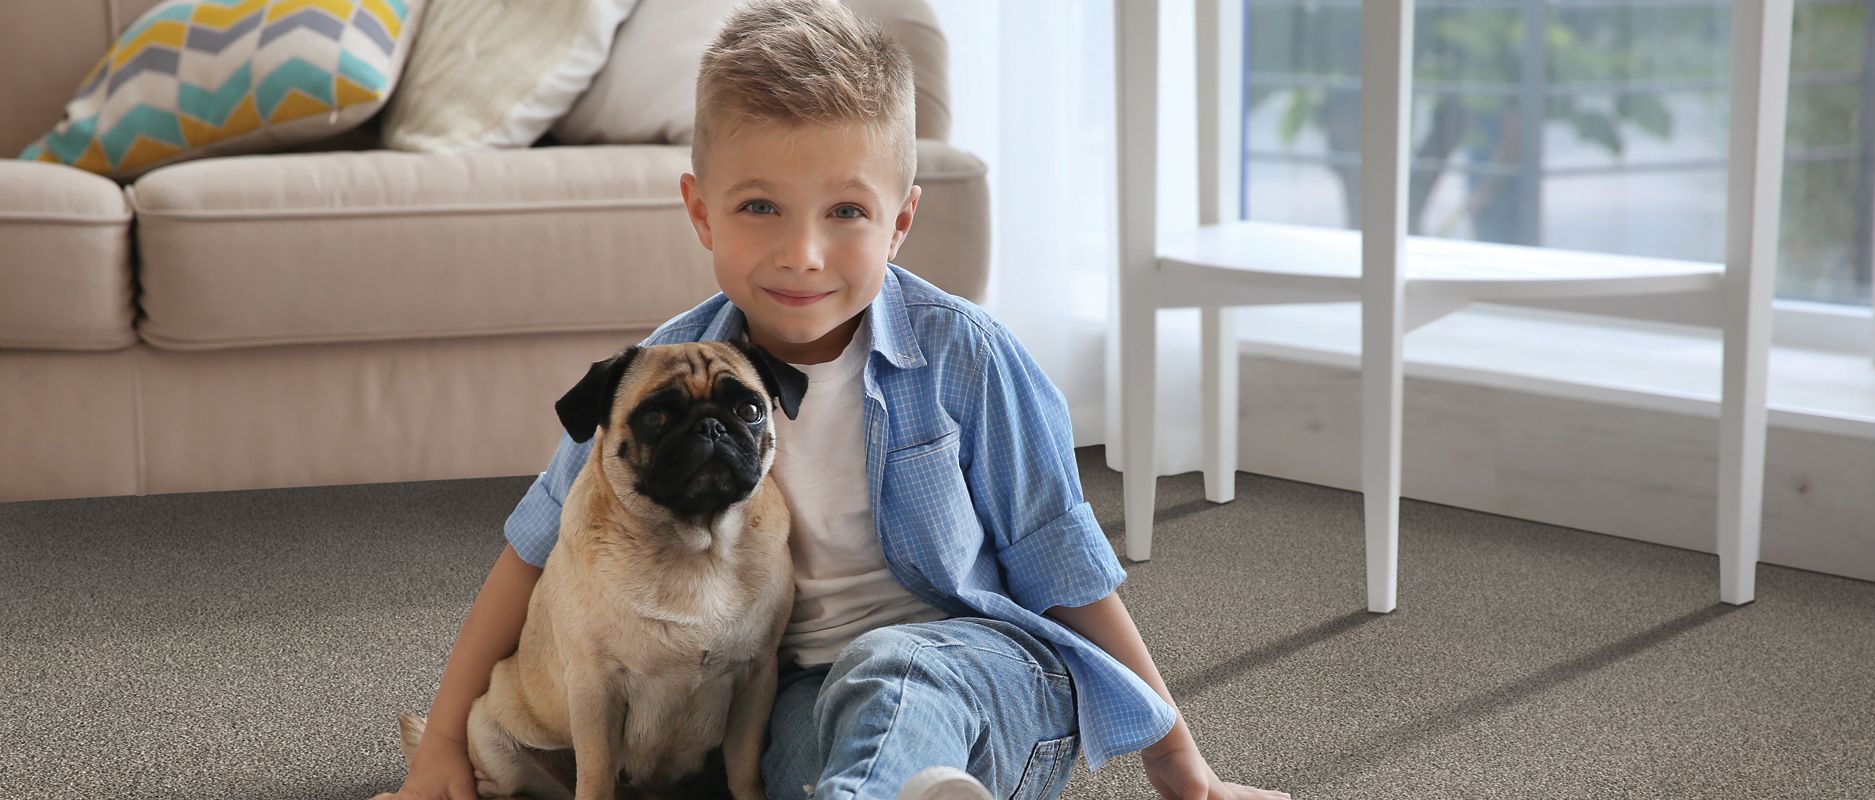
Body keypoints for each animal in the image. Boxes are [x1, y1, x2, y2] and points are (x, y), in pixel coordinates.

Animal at [395, 339, 806, 800]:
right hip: (498, 750)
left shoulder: (757, 677)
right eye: (653, 418)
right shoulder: (596, 691)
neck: (696, 547)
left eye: (750, 410)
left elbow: (745, 768)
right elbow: (595, 775)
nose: (712, 427)